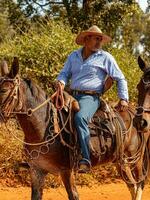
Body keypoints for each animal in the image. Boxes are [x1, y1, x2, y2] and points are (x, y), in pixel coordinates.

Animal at [0, 57, 148, 199]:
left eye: (4, 90)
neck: (42, 129)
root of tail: (134, 113)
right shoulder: (36, 171)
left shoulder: (67, 171)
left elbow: (73, 195)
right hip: (120, 162)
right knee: (132, 186)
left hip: (135, 159)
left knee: (139, 184)